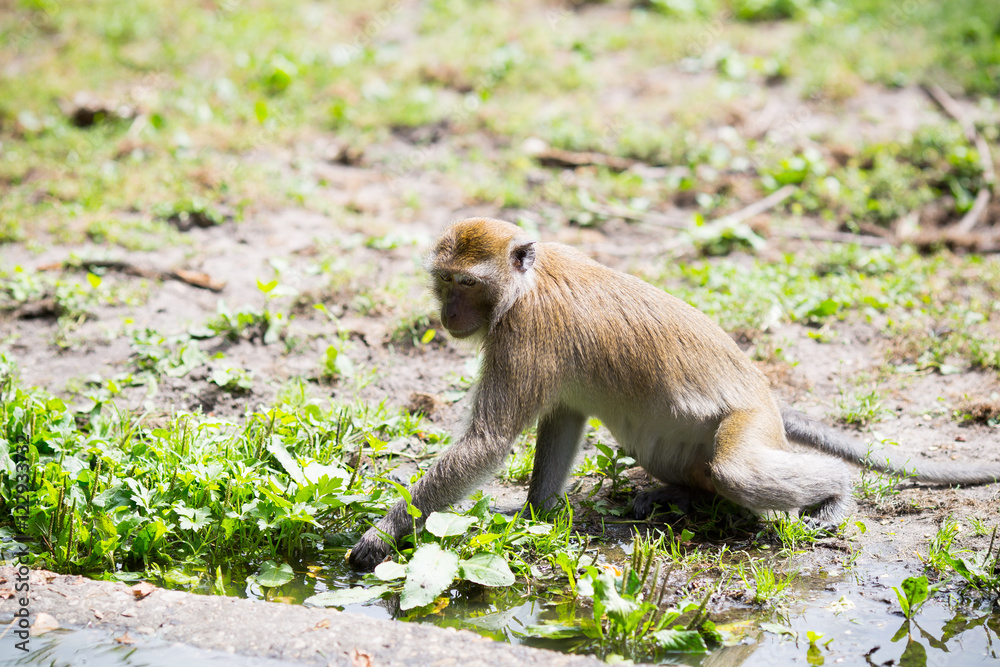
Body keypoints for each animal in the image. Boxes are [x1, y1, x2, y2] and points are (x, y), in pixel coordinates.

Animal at [346, 218, 1000, 568]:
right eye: (445, 280)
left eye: (466, 283)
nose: (448, 313)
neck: (522, 286)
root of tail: (771, 402)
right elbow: (563, 416)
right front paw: (535, 513)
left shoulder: (524, 332)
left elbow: (486, 441)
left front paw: (380, 536)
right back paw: (682, 497)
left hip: (750, 423)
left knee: (740, 469)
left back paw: (836, 493)